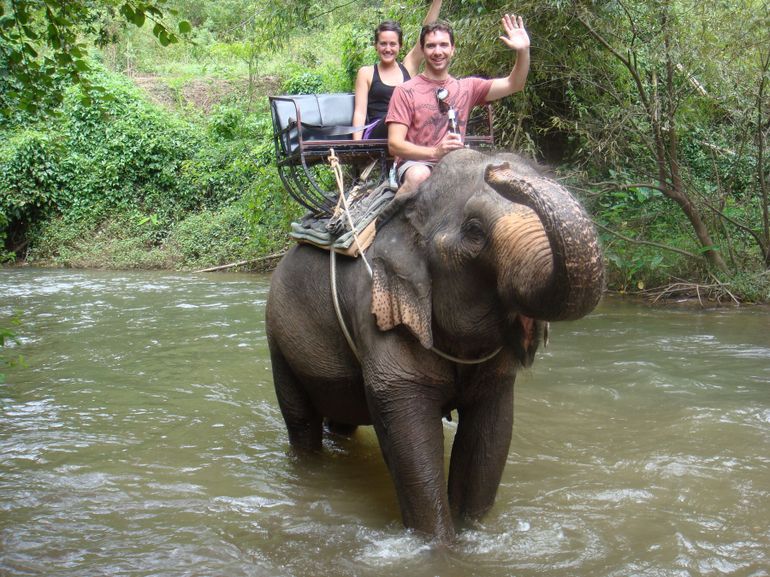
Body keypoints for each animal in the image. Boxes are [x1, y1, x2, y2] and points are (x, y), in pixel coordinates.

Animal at [265, 149, 604, 543]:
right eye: (474, 230)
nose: (500, 167)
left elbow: (489, 437)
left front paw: (473, 532)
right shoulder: (377, 313)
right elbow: (410, 441)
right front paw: (438, 544)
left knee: (342, 419)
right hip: (278, 337)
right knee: (301, 424)